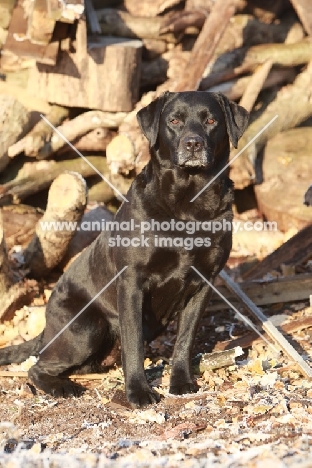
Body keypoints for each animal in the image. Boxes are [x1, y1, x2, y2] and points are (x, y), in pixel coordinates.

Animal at [0, 90, 249, 406]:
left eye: (211, 121)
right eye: (174, 120)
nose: (193, 143)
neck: (189, 203)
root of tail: (48, 328)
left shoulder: (204, 282)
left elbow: (185, 340)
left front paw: (181, 382)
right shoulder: (132, 282)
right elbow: (134, 345)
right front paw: (139, 392)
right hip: (87, 328)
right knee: (37, 367)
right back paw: (63, 387)